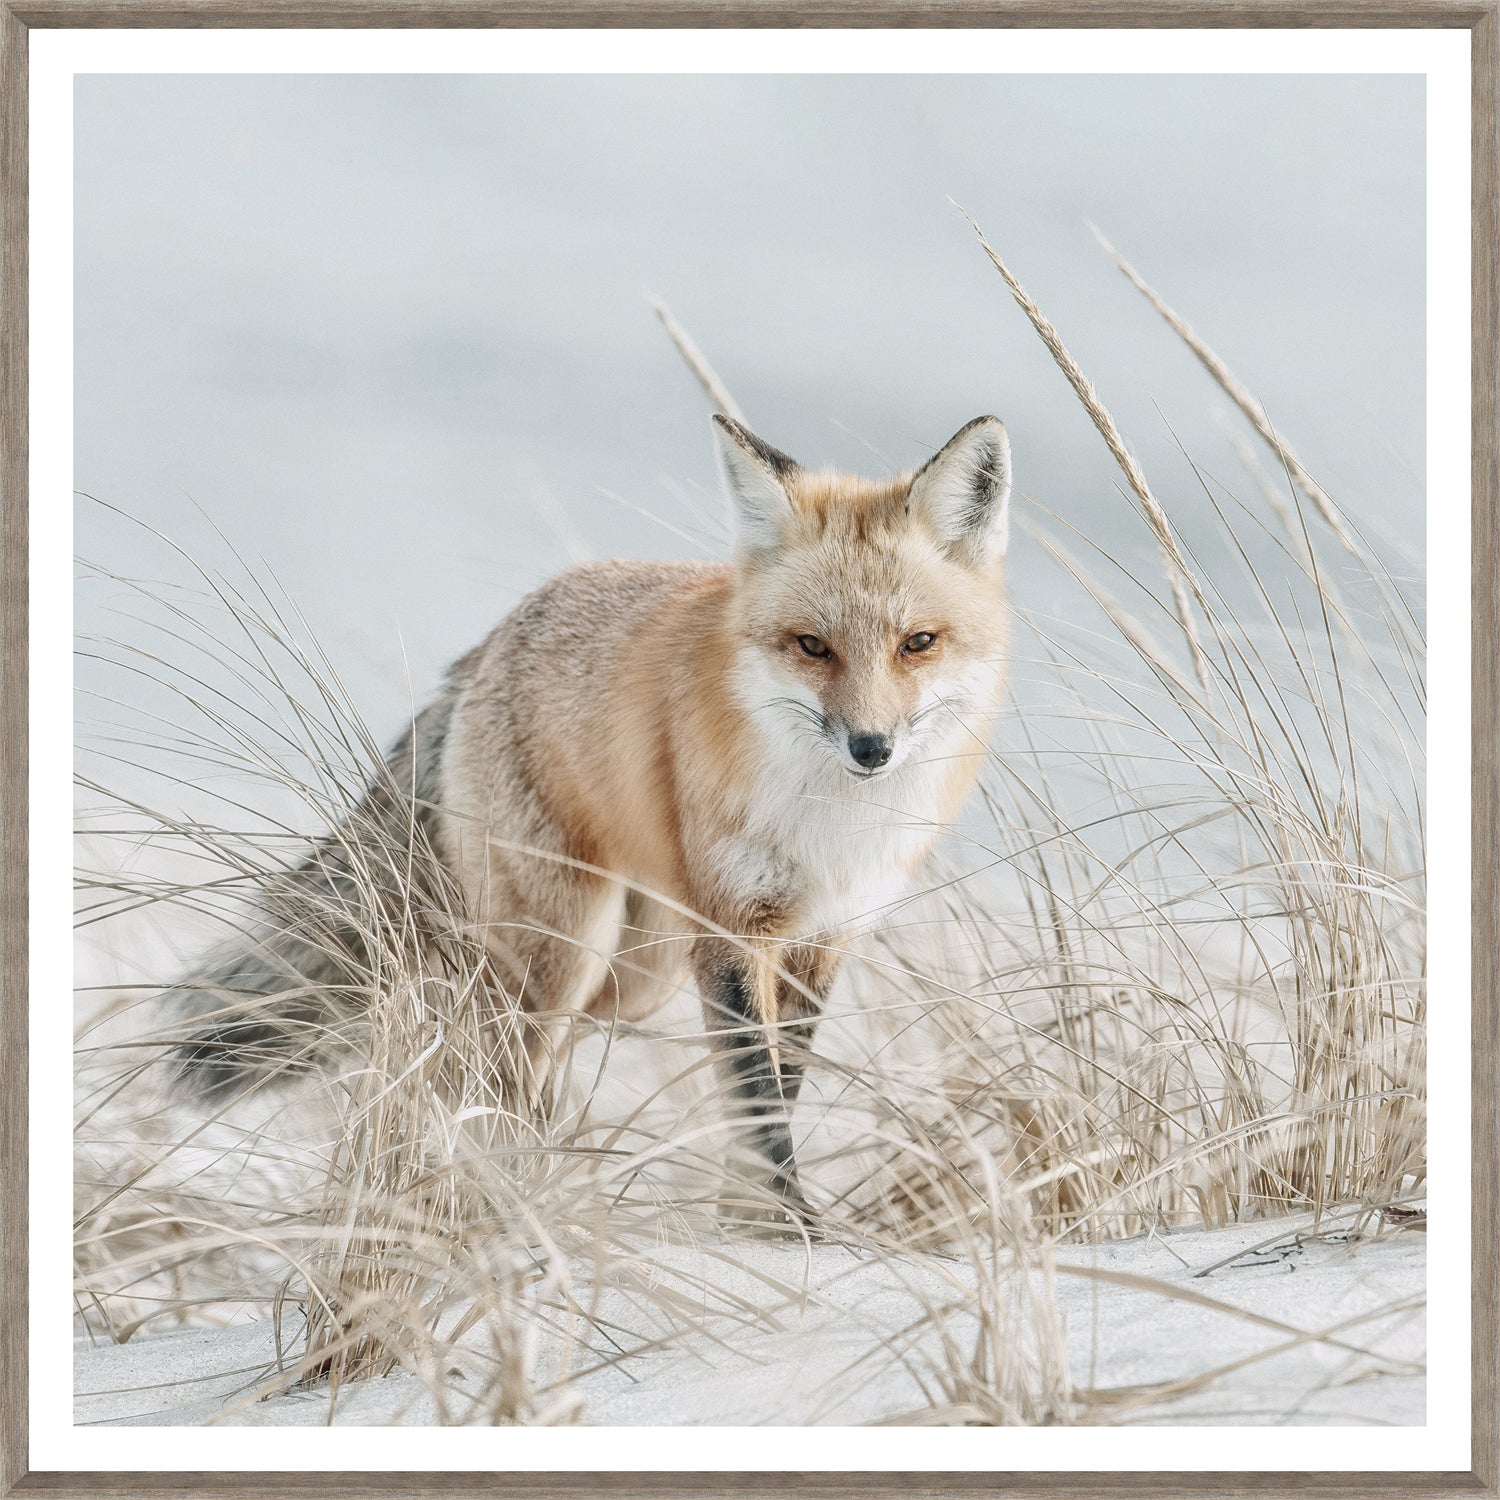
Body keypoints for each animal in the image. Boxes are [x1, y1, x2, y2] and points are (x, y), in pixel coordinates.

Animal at [164, 412, 1014, 1223]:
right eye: (812, 646)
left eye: (918, 643)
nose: (872, 747)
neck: (832, 823)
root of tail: (487, 645)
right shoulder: (734, 932)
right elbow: (759, 1101)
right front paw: (784, 1228)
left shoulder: (821, 936)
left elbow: (781, 1086)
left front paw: (753, 1223)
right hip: (565, 951)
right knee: (493, 1069)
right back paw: (496, 1199)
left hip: (635, 974)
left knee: (509, 1066)